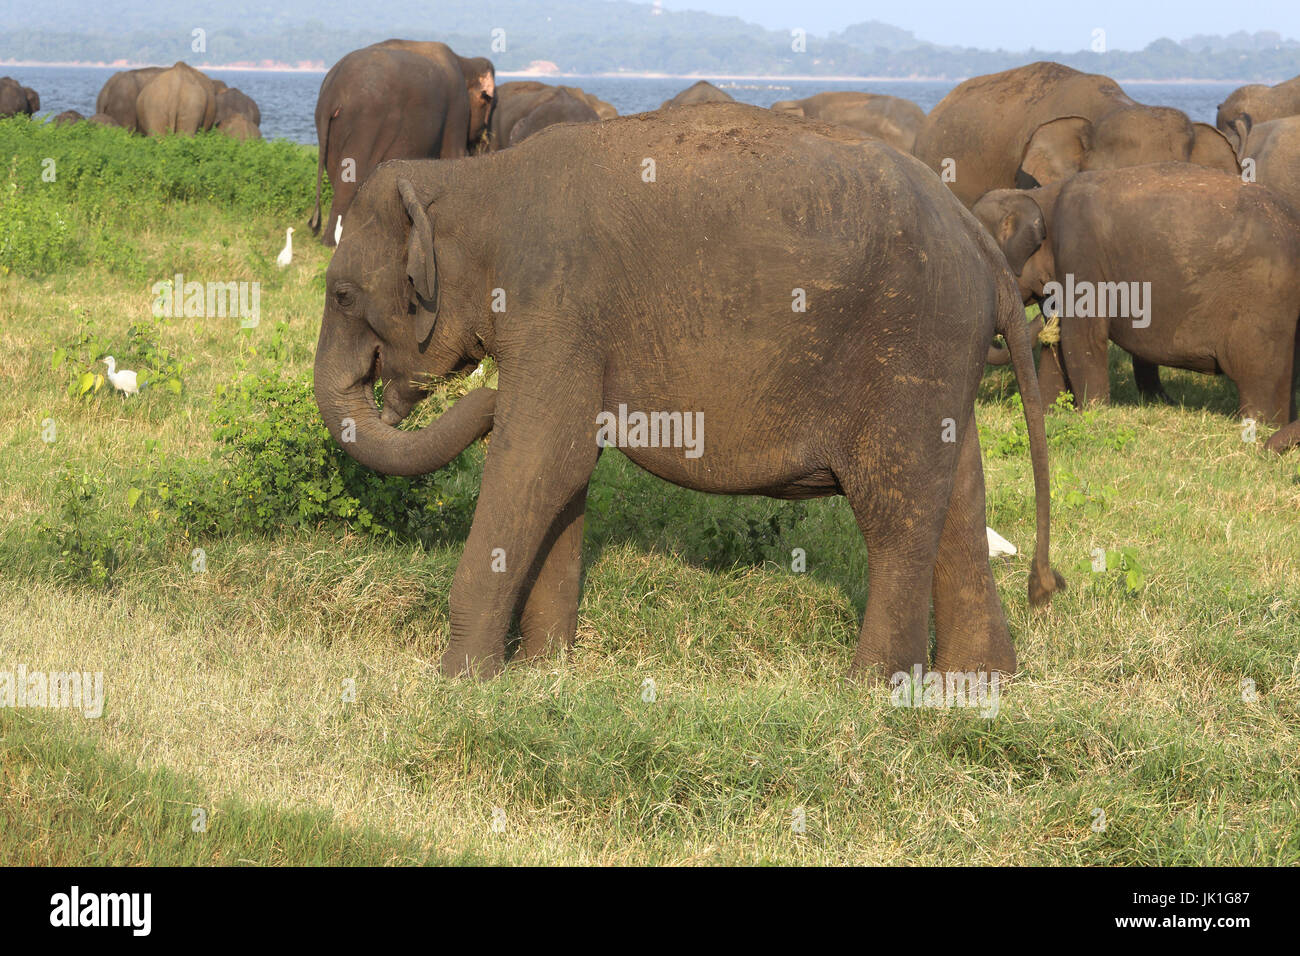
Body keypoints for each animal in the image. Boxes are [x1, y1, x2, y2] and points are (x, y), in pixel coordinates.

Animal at [309, 38, 496, 247]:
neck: (464, 61)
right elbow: (453, 155)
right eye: (487, 102)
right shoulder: (457, 108)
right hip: (366, 124)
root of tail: (331, 95)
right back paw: (337, 241)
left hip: (332, 133)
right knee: (349, 175)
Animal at [314, 104, 1066, 686]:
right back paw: (977, 685)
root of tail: (978, 240)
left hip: (911, 343)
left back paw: (871, 690)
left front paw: (461, 686)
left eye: (342, 294)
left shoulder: (558, 309)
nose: (485, 403)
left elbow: (540, 460)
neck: (475, 178)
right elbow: (564, 472)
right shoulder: (568, 328)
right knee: (960, 503)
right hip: (943, 357)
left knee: (896, 513)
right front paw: (543, 673)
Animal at [977, 161, 1300, 452]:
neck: (1042, 196)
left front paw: (1093, 415)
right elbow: (1055, 343)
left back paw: (1255, 431)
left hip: (1263, 306)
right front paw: (1049, 412)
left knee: (1256, 376)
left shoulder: (1081, 256)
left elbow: (1082, 338)